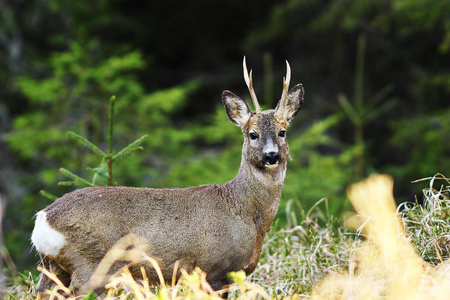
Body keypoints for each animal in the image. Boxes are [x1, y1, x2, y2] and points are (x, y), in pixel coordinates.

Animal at [30, 57, 306, 296]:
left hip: (53, 268)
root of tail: (42, 219)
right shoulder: (214, 269)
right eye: (253, 134)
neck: (246, 212)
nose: (271, 156)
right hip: (92, 266)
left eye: (282, 132)